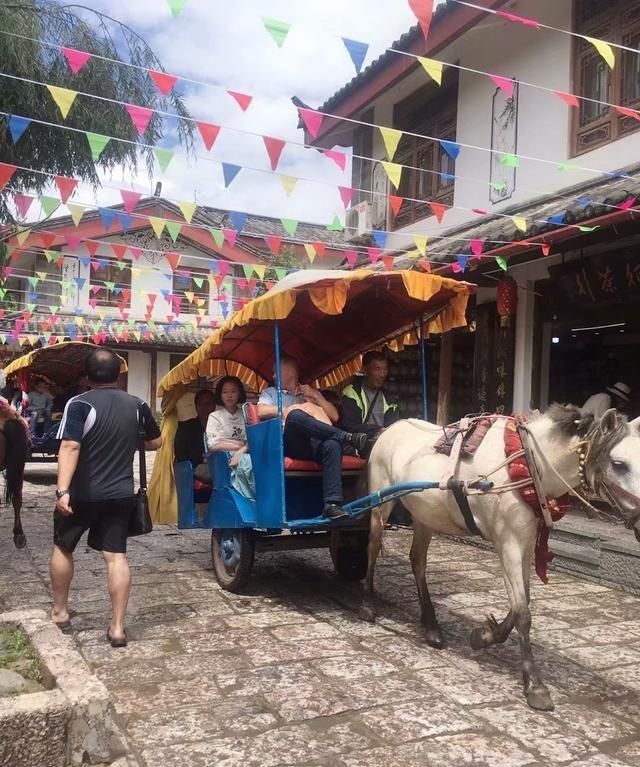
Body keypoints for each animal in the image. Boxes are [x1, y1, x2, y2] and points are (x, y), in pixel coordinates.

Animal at [362, 404, 640, 712]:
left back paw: (431, 626)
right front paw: (535, 685)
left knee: (418, 560)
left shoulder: (527, 542)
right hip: (379, 502)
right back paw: (368, 603)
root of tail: (392, 427)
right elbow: (522, 613)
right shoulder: (508, 542)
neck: (528, 463)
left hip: (424, 513)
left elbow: (523, 601)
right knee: (373, 547)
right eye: (619, 464)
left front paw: (485, 636)